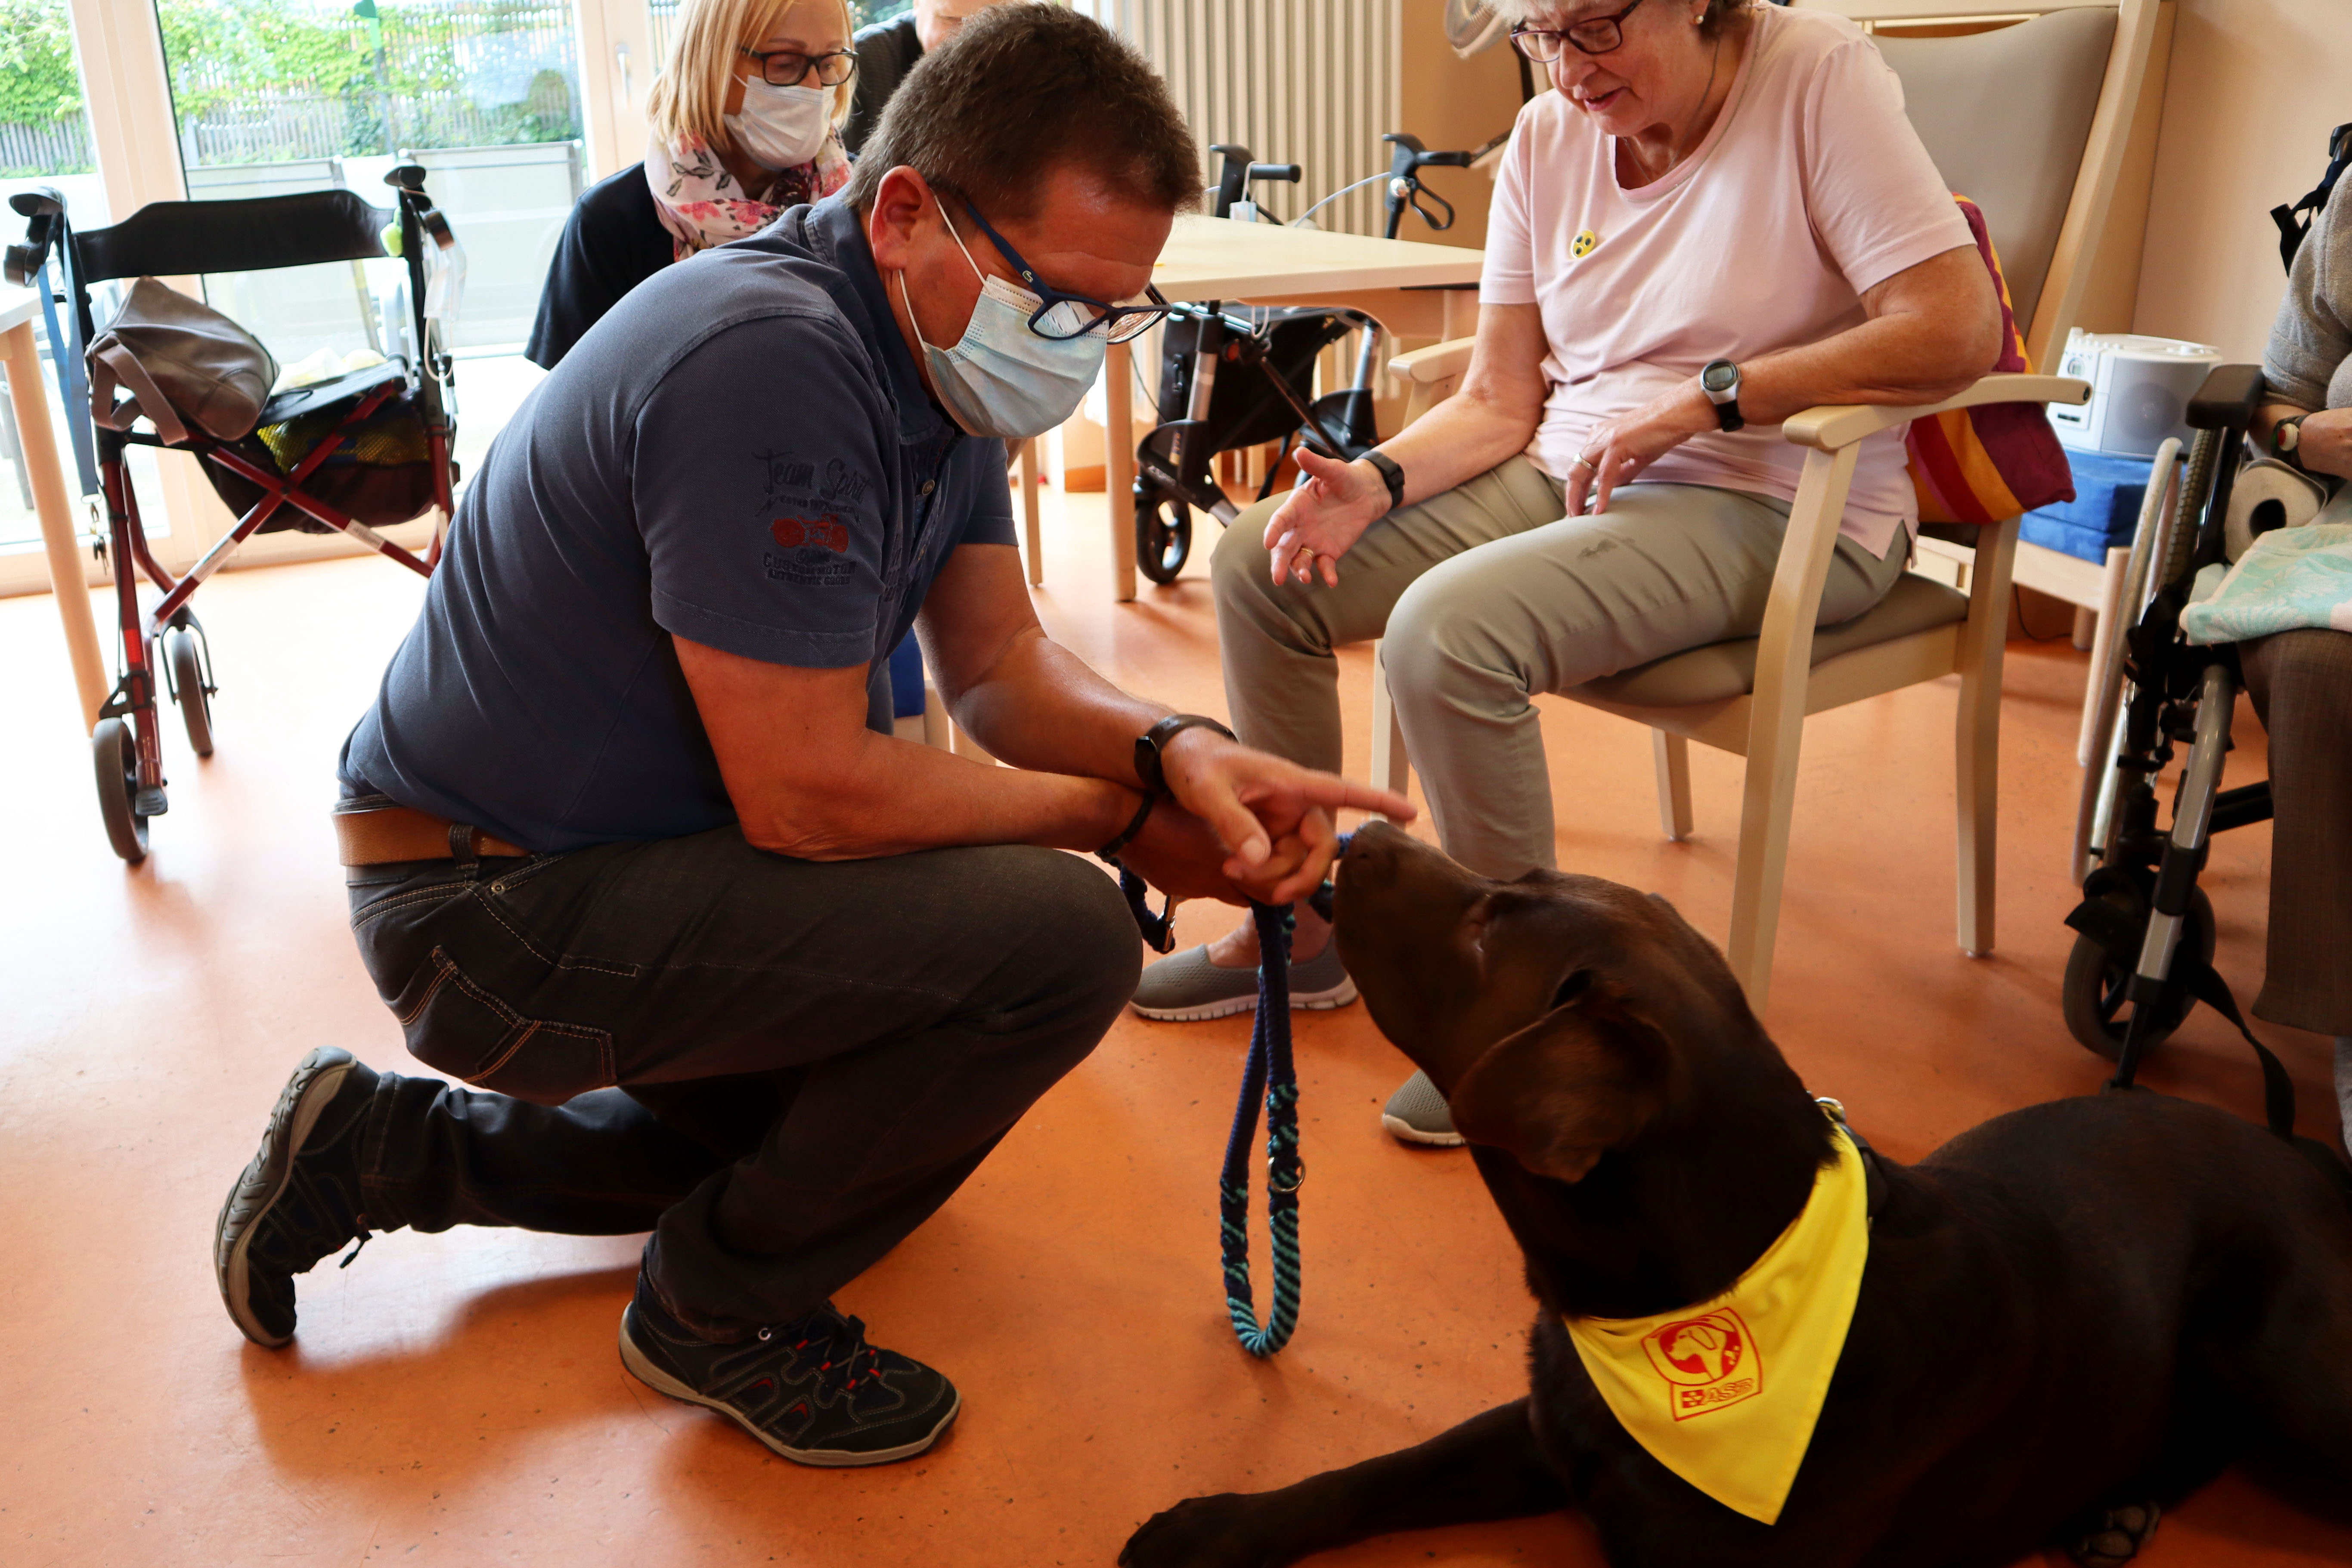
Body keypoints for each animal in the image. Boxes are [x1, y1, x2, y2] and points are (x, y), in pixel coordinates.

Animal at [1119, 827, 2352, 1561]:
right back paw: (2115, 1503)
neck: (1707, 1281)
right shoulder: (1546, 1426)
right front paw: (1214, 1528)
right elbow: (1380, 1471)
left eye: (1486, 925)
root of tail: (2302, 1154)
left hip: (2294, 1372)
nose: (1357, 832)